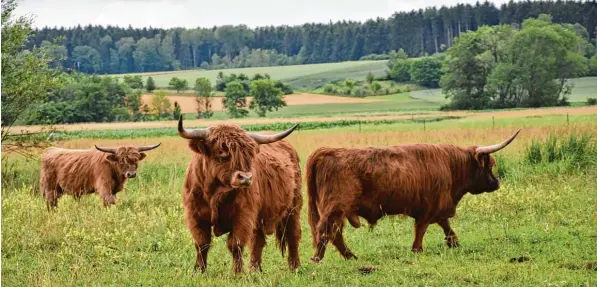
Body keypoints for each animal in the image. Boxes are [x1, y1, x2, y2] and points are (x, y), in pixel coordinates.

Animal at [175, 116, 300, 276]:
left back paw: (295, 267)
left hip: (294, 207)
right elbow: (201, 243)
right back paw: (255, 269)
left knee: (292, 235)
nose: (246, 178)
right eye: (221, 151)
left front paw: (237, 273)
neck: (215, 192)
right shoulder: (195, 215)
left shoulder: (243, 216)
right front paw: (198, 271)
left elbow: (236, 244)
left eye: (249, 154)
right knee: (258, 240)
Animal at [304, 130, 520, 264]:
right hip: (336, 207)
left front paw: (454, 243)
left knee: (332, 233)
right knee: (328, 232)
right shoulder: (431, 206)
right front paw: (417, 249)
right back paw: (325, 258)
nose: (497, 183)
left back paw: (345, 257)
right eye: (490, 165)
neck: (451, 167)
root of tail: (328, 151)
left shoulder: (437, 207)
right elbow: (422, 228)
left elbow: (446, 226)